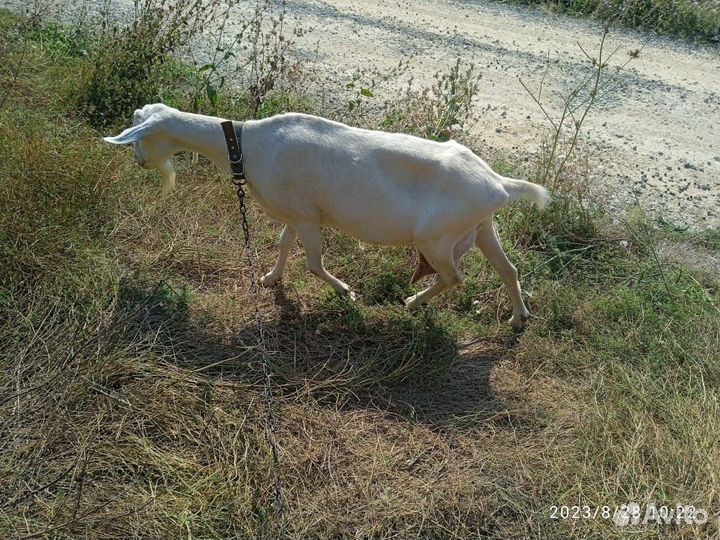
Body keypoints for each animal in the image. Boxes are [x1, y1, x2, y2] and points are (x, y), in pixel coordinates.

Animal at [104, 103, 549, 327]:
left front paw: (344, 291)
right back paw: (518, 317)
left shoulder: (308, 217)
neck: (248, 144)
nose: (139, 161)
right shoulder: (296, 212)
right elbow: (284, 244)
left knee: (454, 276)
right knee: (508, 269)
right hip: (482, 227)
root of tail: (498, 184)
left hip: (436, 238)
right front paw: (270, 278)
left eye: (141, 134)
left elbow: (314, 263)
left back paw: (412, 302)